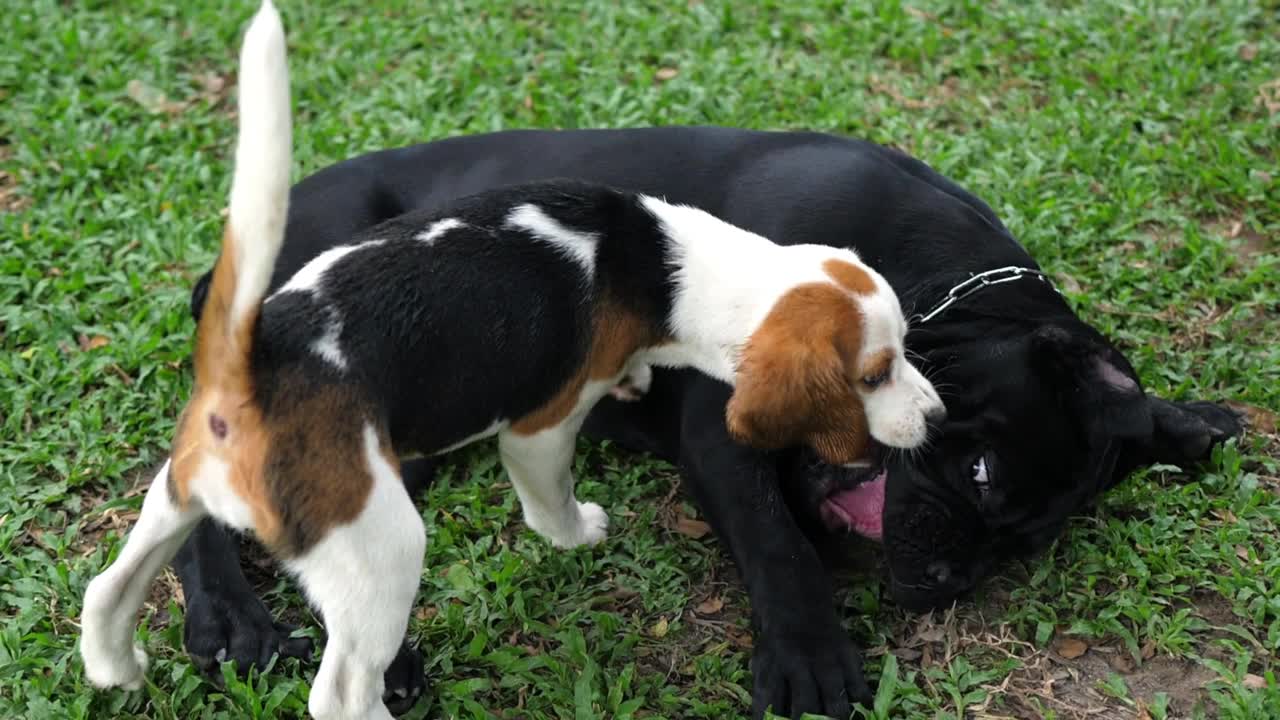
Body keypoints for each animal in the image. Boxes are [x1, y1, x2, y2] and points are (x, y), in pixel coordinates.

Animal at [77, 2, 942, 712]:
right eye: (874, 376)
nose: (936, 416)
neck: (668, 258)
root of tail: (256, 356)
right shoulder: (542, 425)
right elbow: (549, 497)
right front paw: (579, 531)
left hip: (177, 496)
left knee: (113, 583)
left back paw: (116, 662)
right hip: (382, 544)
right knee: (340, 689)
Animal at [180, 126, 1239, 712]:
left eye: (1022, 549)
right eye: (979, 479)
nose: (945, 582)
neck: (930, 280)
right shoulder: (728, 433)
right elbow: (780, 547)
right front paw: (812, 659)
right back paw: (234, 620)